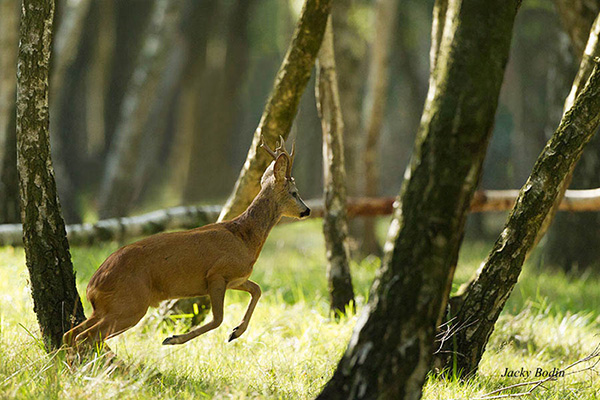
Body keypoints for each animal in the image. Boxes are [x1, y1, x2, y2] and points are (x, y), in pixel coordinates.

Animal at [63, 136, 310, 346]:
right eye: (294, 192)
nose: (306, 210)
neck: (245, 238)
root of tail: (92, 286)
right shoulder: (217, 274)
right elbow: (217, 319)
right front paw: (173, 339)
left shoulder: (236, 279)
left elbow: (257, 290)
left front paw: (236, 331)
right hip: (129, 304)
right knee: (84, 336)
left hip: (108, 308)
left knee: (71, 334)